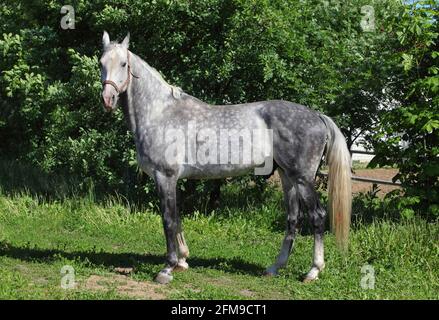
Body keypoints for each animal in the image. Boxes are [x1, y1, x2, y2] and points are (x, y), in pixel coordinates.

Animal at [100, 31, 354, 284]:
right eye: (101, 63)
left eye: (123, 64)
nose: (107, 99)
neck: (160, 113)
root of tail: (318, 116)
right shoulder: (173, 179)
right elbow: (177, 216)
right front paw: (182, 261)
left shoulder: (165, 176)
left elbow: (168, 219)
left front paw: (167, 268)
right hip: (287, 176)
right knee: (293, 219)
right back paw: (274, 268)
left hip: (302, 178)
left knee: (317, 216)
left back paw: (313, 271)